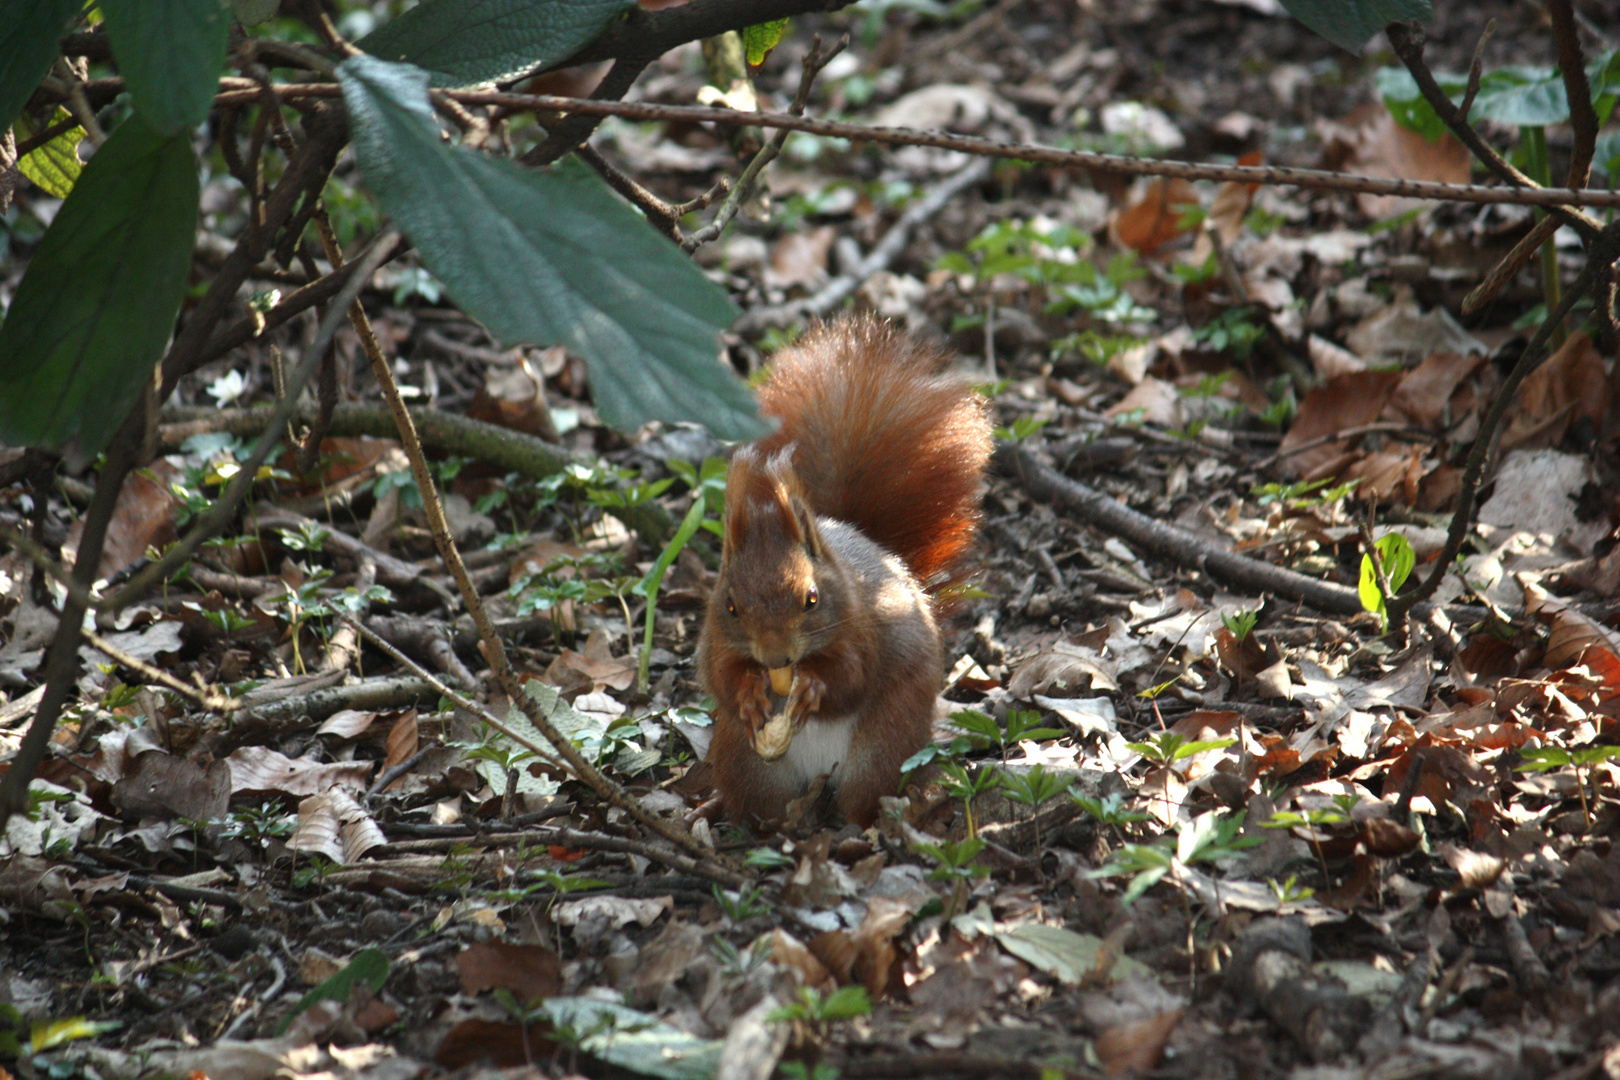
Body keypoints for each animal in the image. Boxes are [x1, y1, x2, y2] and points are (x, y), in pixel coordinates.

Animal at [703, 312, 991, 829]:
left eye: (812, 599)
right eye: (731, 606)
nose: (775, 657)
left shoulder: (862, 629)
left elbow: (853, 676)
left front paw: (815, 685)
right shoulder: (715, 640)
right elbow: (720, 676)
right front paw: (750, 695)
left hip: (883, 747)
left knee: (865, 798)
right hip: (746, 762)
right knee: (767, 807)